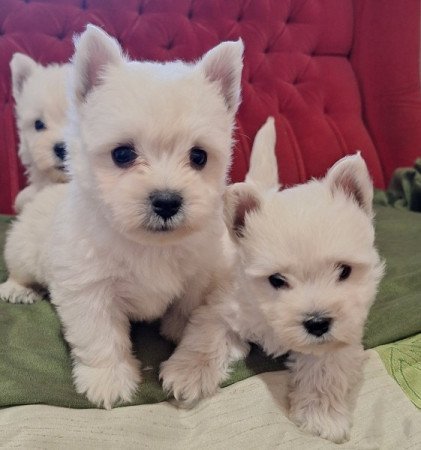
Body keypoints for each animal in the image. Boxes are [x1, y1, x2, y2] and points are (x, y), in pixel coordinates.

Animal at [161, 116, 384, 442]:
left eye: (344, 271)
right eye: (276, 280)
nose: (317, 323)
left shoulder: (340, 339)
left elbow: (326, 369)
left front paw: (321, 414)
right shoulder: (222, 305)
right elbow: (204, 336)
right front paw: (186, 373)